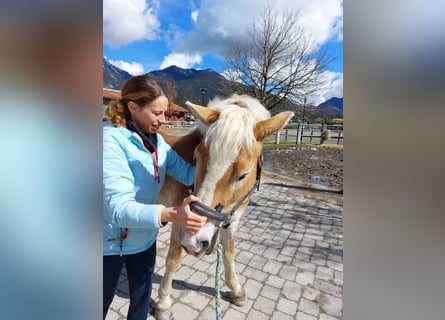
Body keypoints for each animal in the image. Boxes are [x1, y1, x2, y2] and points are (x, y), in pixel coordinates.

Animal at [154, 94, 294, 318]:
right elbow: (173, 259)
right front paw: (164, 302)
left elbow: (229, 254)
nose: (196, 240)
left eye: (243, 175)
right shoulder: (180, 222)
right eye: (196, 157)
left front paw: (236, 289)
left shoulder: (232, 221)